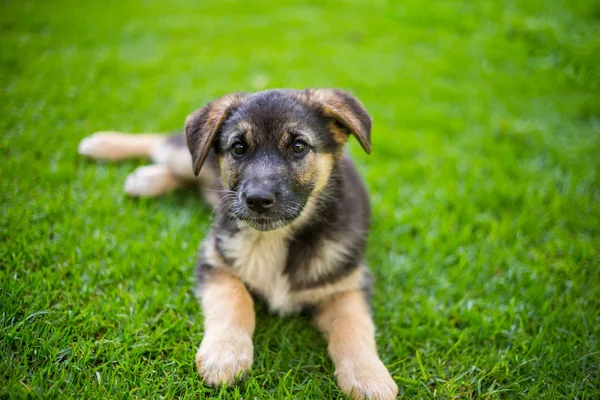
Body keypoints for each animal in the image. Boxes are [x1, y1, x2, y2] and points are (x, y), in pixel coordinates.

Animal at [78, 89, 398, 398]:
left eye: (298, 146)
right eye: (238, 148)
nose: (257, 199)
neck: (276, 238)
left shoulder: (346, 285)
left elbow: (353, 327)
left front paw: (369, 376)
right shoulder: (215, 259)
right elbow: (234, 299)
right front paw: (225, 355)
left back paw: (144, 177)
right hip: (190, 159)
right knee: (163, 143)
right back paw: (104, 146)